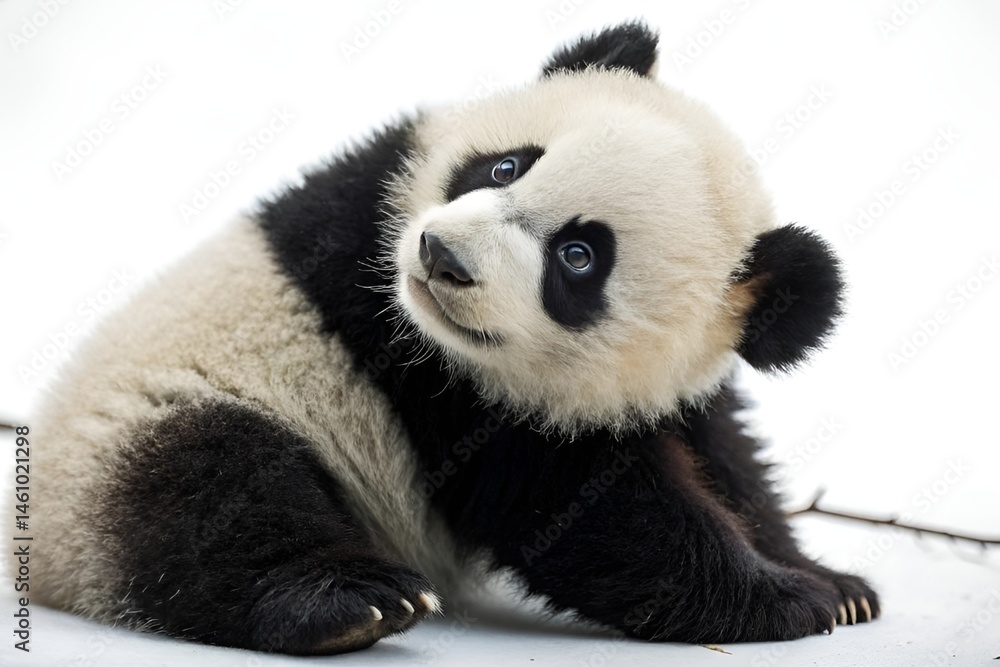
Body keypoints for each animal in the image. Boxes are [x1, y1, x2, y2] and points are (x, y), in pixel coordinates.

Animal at [26, 21, 878, 655]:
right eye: (507, 166)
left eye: (578, 255)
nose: (440, 255)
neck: (414, 318)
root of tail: (37, 562)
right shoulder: (431, 361)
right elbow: (584, 509)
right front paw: (786, 598)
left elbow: (719, 450)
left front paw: (834, 585)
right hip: (143, 420)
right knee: (214, 493)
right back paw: (347, 602)